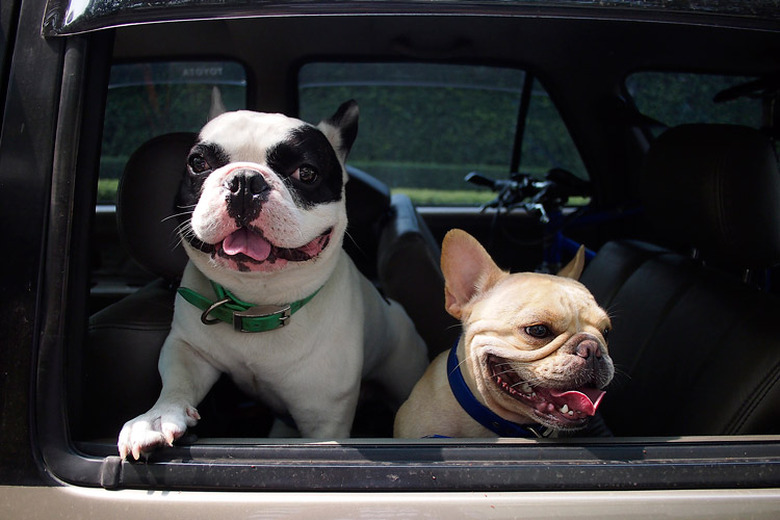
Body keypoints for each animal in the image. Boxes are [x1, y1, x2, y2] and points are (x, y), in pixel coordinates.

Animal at [119, 100, 430, 460]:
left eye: (306, 173)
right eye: (198, 163)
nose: (244, 180)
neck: (259, 305)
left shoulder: (323, 417)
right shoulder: (188, 348)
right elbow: (177, 380)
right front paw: (156, 418)